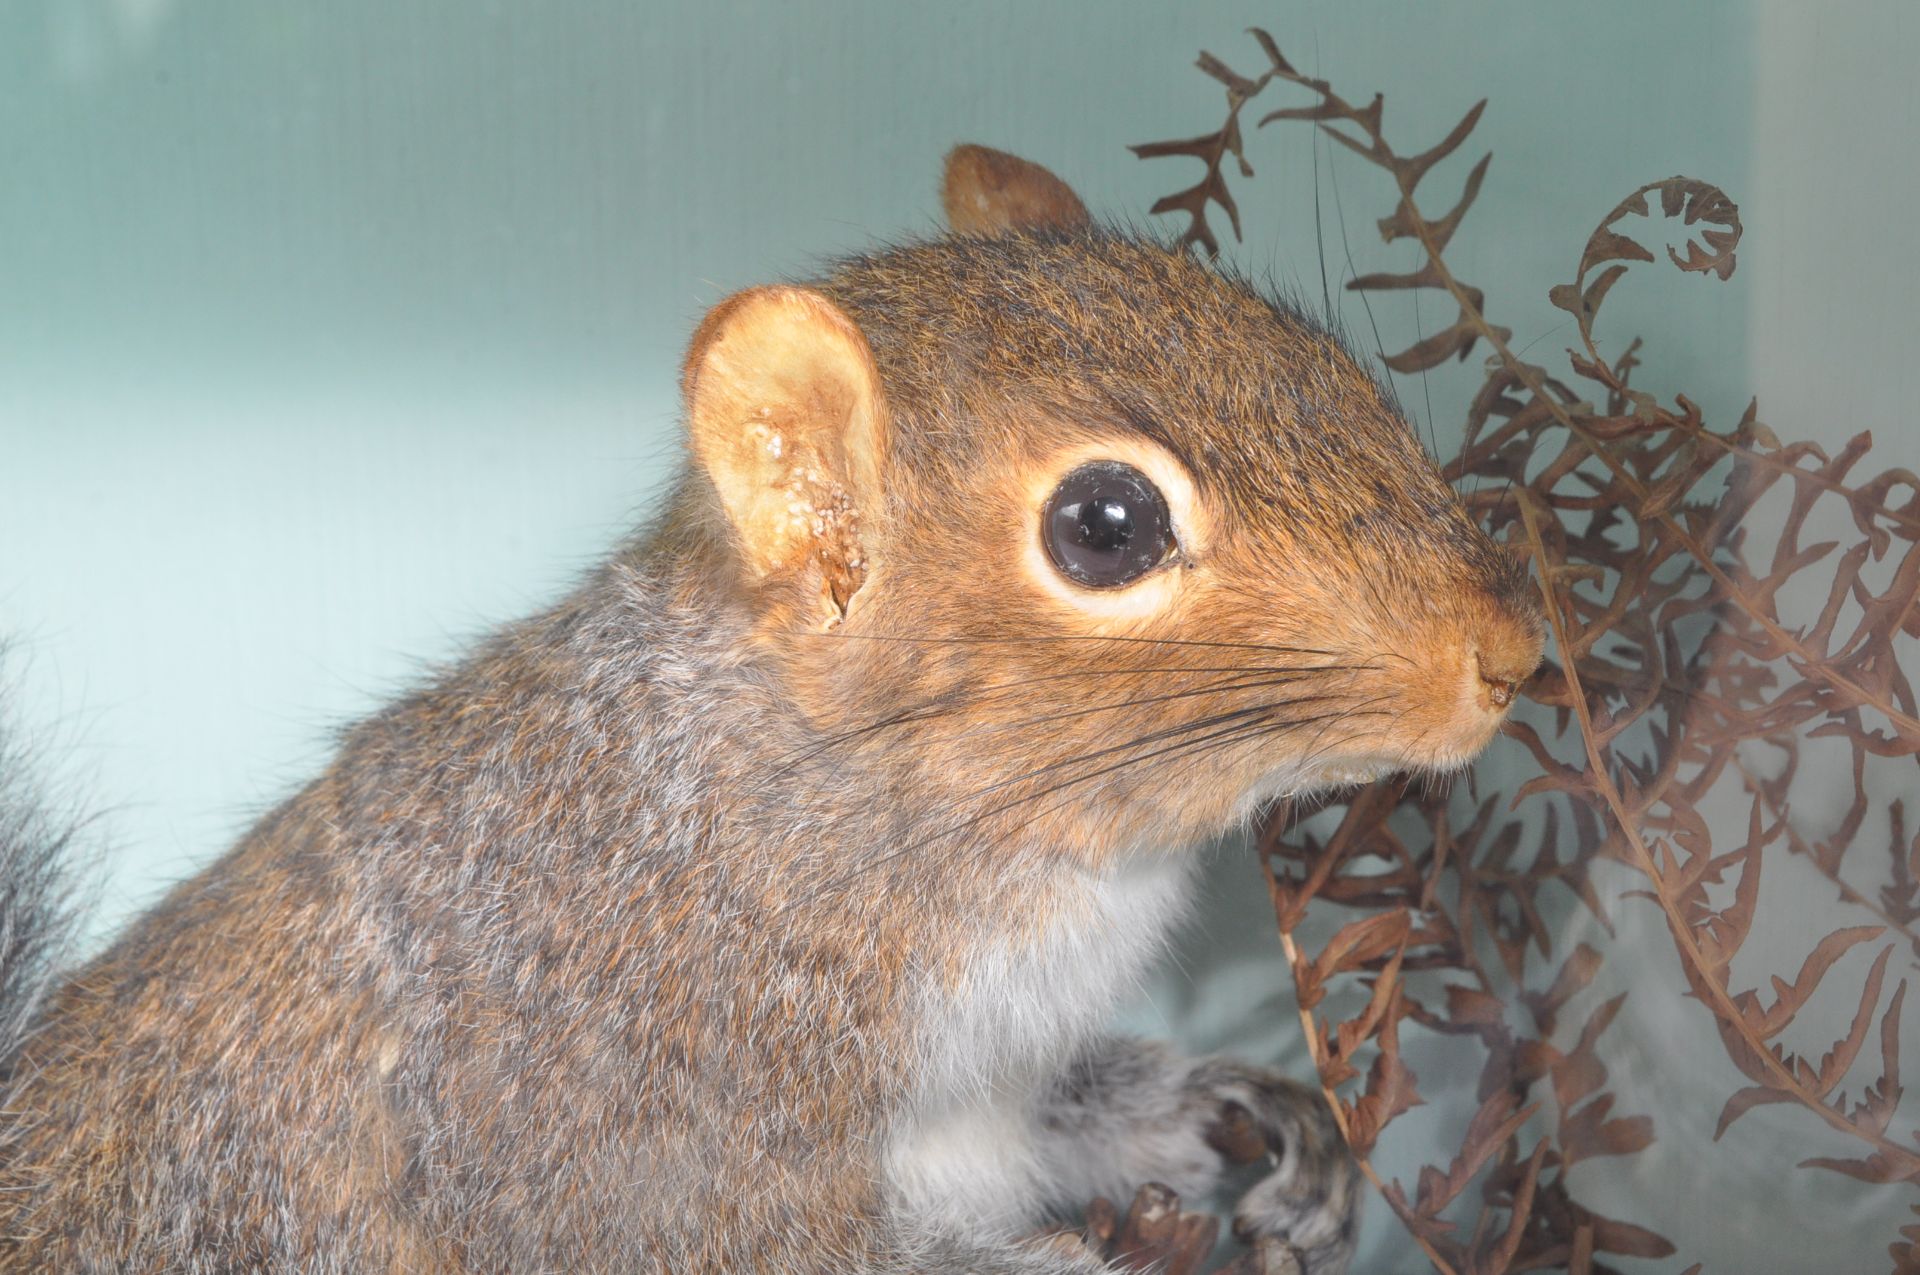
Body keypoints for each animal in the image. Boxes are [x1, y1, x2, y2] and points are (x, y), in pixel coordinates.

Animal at [0, 144, 1536, 1267]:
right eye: (1105, 526)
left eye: (1326, 356)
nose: (1512, 651)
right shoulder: (616, 1129)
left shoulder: (993, 1080)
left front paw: (1232, 1108)